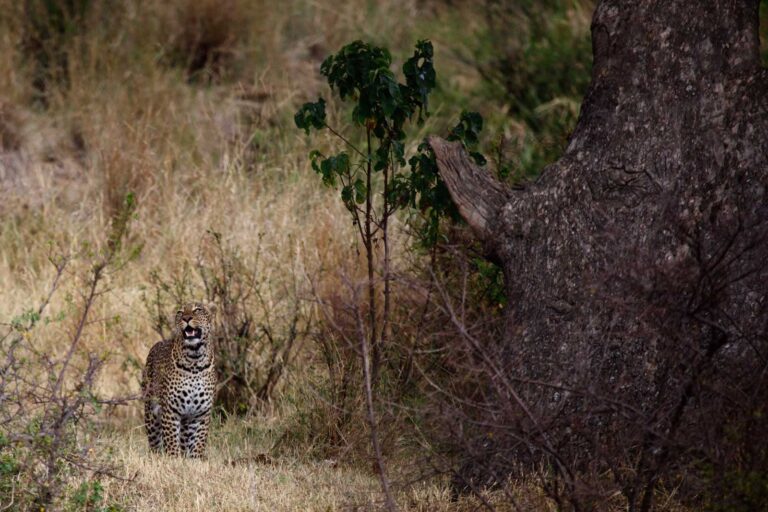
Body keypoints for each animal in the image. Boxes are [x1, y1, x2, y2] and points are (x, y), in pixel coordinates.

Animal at [142, 302, 218, 458]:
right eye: (180, 312)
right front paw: (173, 459)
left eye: (198, 310)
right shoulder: (171, 410)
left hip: (187, 421)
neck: (195, 360)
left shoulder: (202, 413)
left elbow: (199, 441)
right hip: (151, 412)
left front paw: (195, 460)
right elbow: (171, 441)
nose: (186, 318)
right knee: (155, 442)